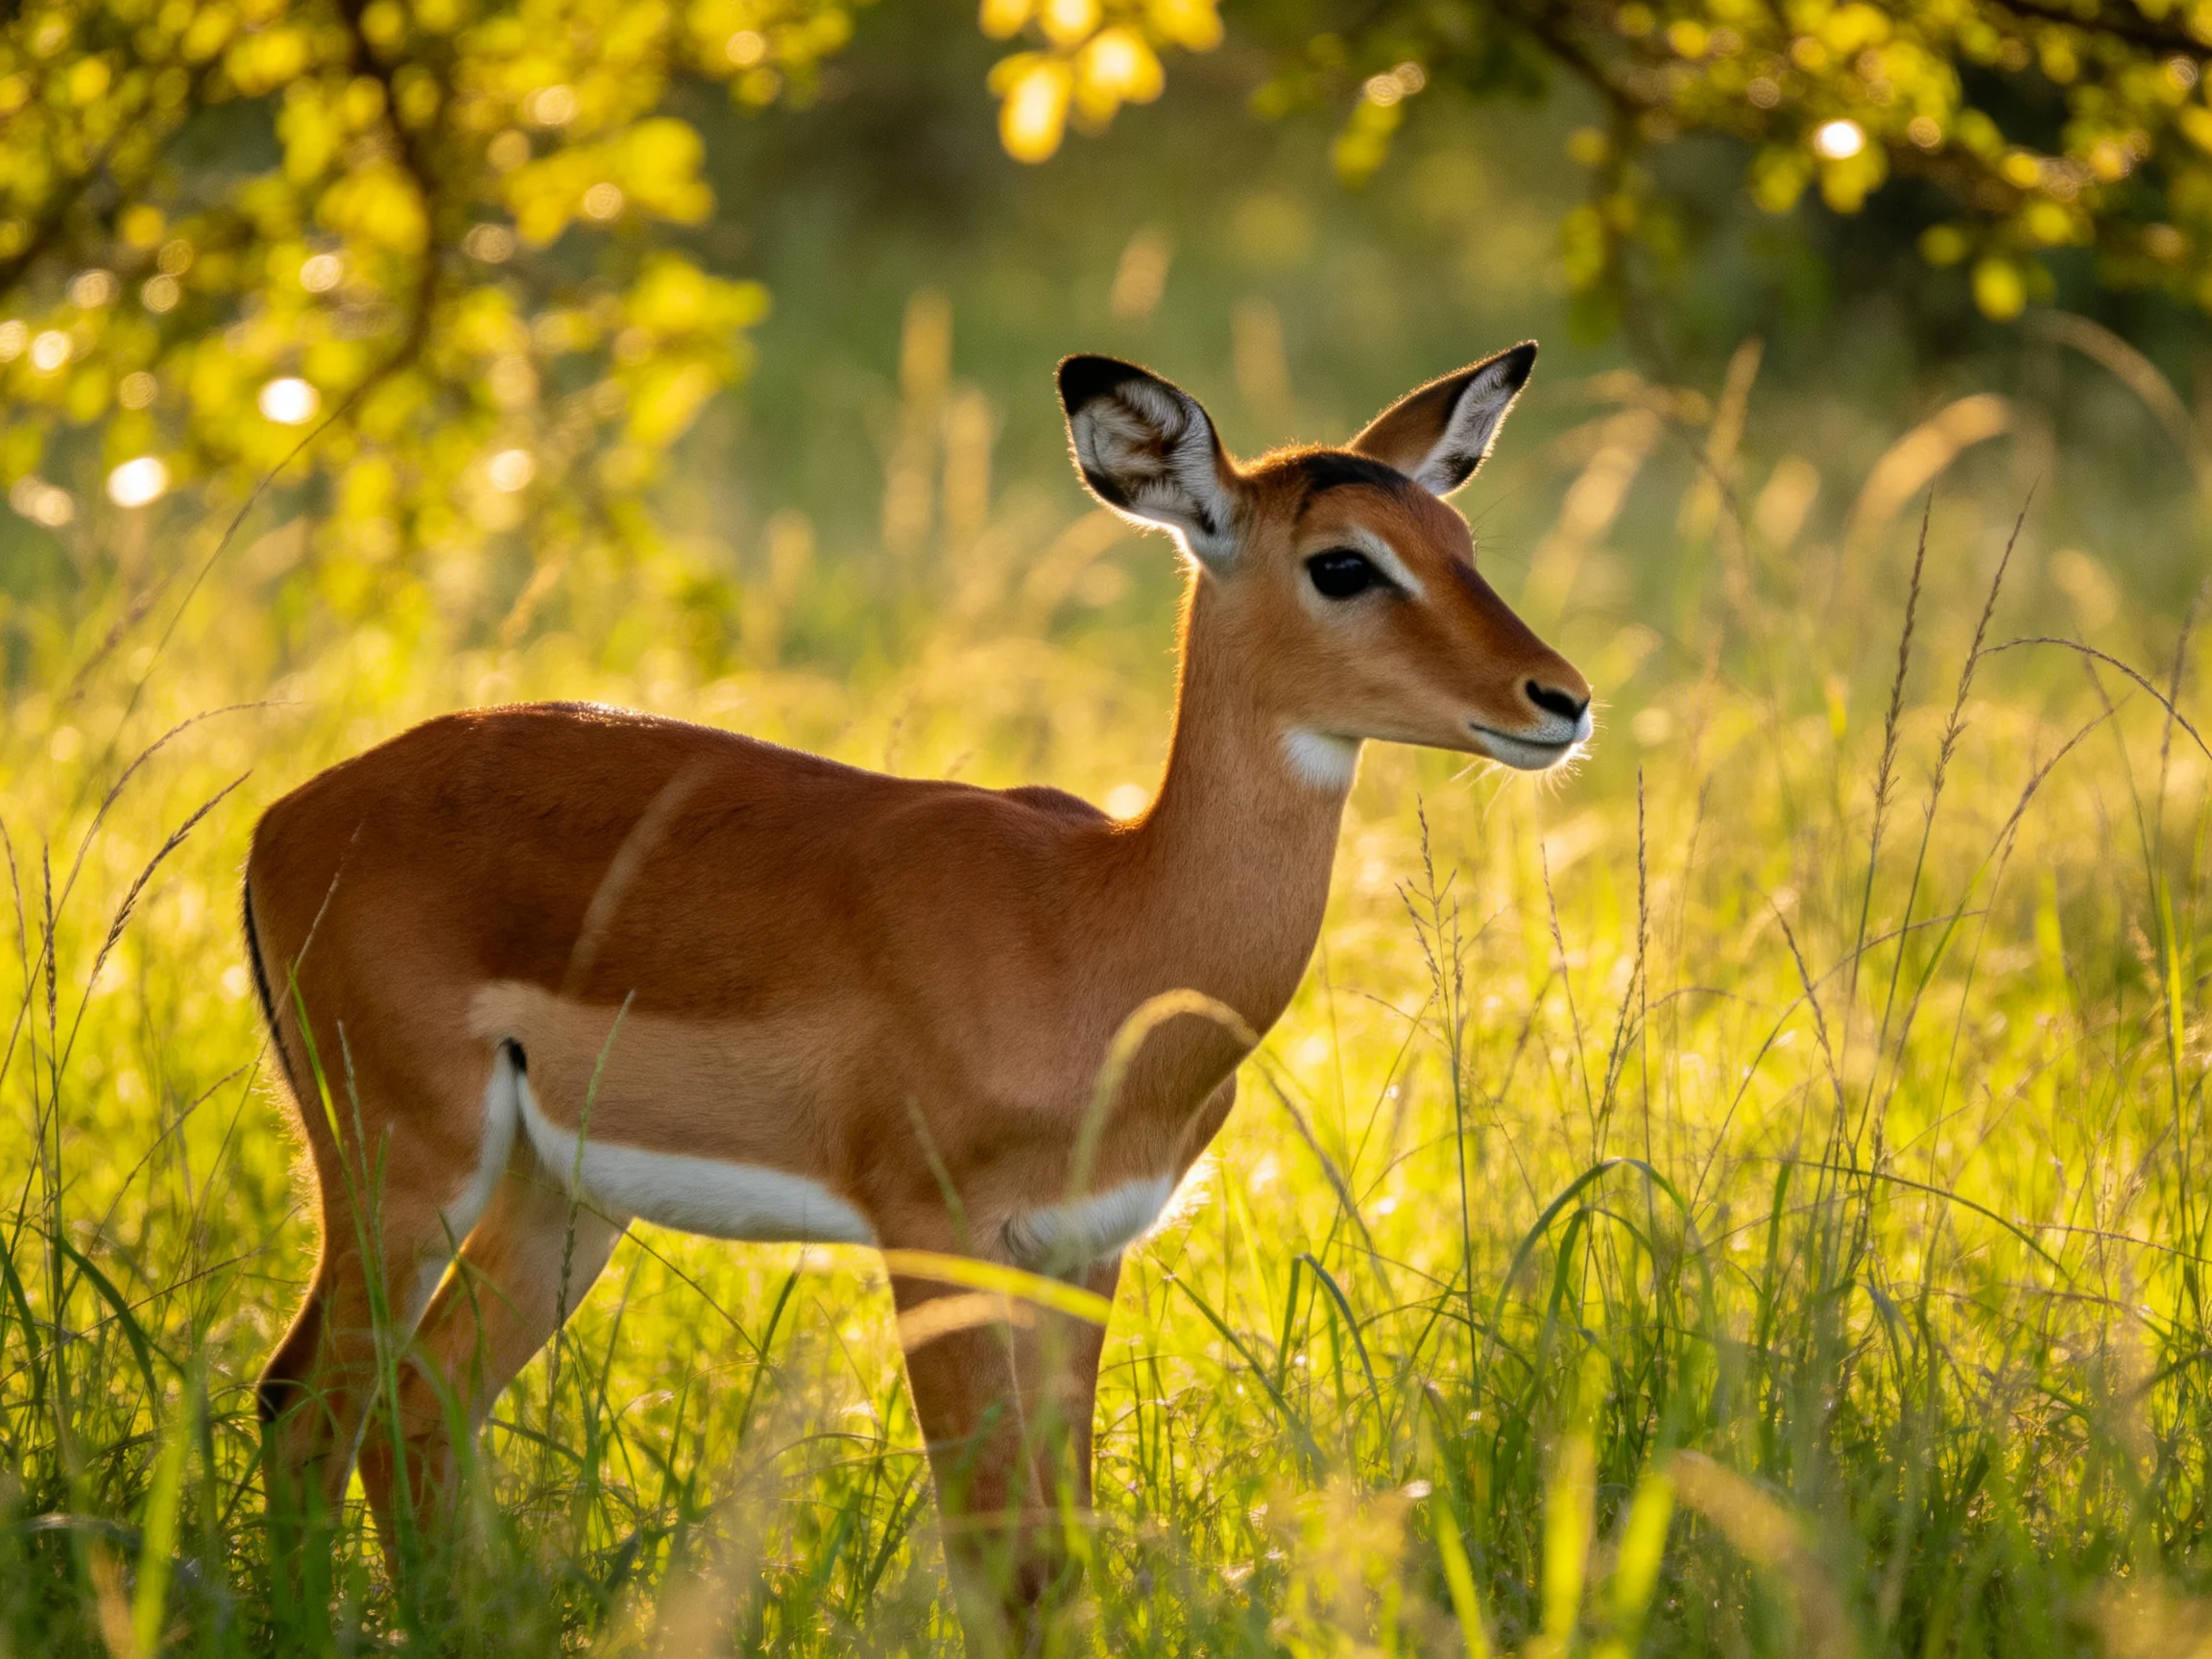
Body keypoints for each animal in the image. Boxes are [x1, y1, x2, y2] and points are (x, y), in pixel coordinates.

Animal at [245, 344, 1592, 1639]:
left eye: (1460, 543)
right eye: (1343, 564)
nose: (1562, 700)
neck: (1099, 927)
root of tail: (287, 818)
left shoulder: (1083, 1250)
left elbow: (1064, 1557)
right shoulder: (934, 1237)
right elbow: (999, 1558)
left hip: (553, 1195)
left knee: (415, 1404)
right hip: (403, 1167)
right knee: (306, 1401)